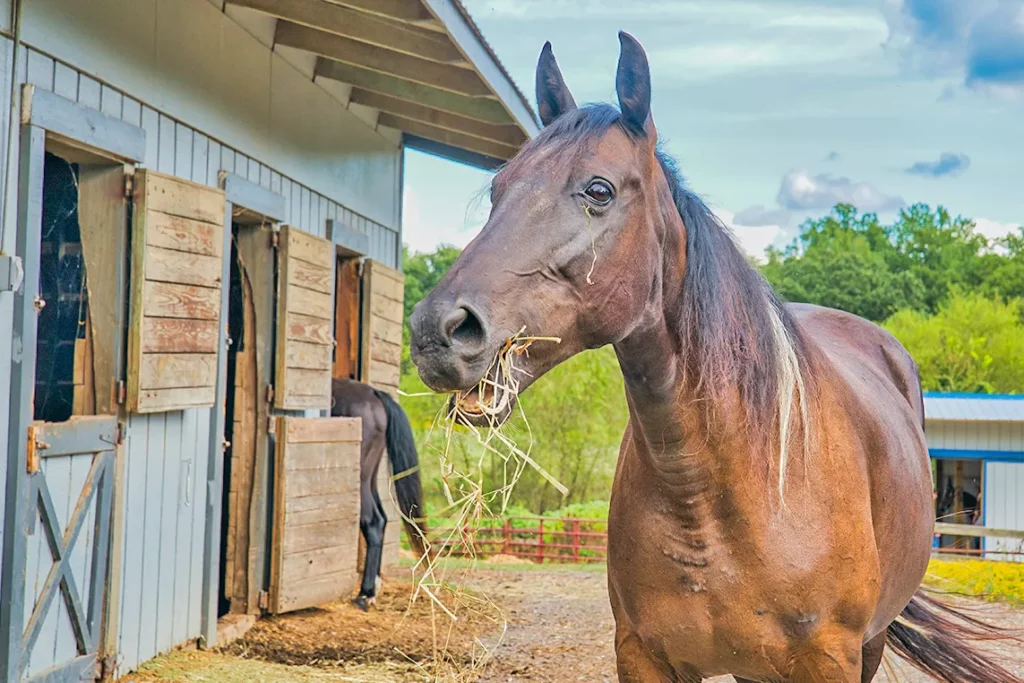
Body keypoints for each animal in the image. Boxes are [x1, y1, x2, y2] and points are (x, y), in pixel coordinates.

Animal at [329, 376, 430, 610]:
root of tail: (374, 394)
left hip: (360, 479)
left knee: (373, 522)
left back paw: (365, 594)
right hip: (370, 477)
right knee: (382, 519)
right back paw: (373, 588)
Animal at [409, 33, 1024, 683]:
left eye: (598, 190)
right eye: (499, 189)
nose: (437, 330)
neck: (715, 496)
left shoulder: (829, 658)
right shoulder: (643, 654)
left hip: (870, 643)